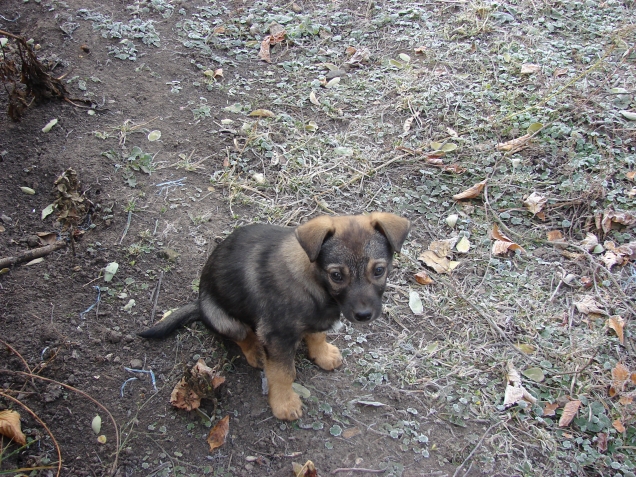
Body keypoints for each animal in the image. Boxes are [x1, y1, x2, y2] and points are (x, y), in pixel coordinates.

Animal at [139, 214, 410, 418]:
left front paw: (322, 355)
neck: (315, 284)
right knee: (242, 335)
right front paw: (284, 404)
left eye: (378, 270)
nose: (364, 315)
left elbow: (317, 336)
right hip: (222, 318)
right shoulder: (278, 336)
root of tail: (198, 304)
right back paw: (256, 352)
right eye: (337, 276)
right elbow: (282, 373)